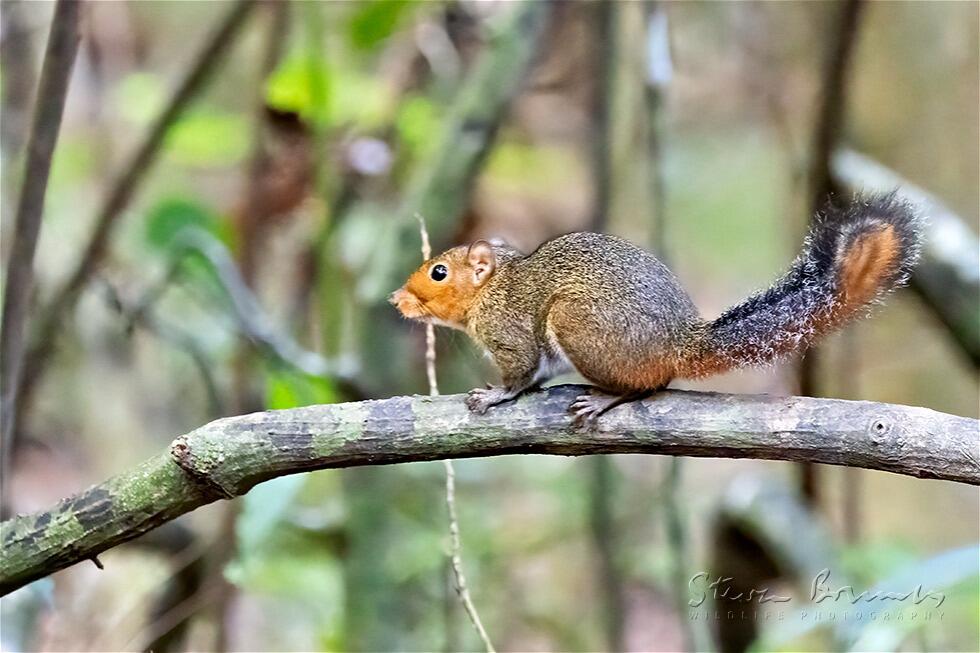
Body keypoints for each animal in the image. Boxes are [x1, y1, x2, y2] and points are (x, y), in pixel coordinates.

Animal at [390, 193, 922, 426]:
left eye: (439, 272)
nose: (396, 298)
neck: (494, 287)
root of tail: (680, 342)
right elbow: (538, 375)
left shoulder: (511, 333)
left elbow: (520, 375)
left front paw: (494, 396)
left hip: (577, 323)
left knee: (648, 384)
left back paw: (605, 398)